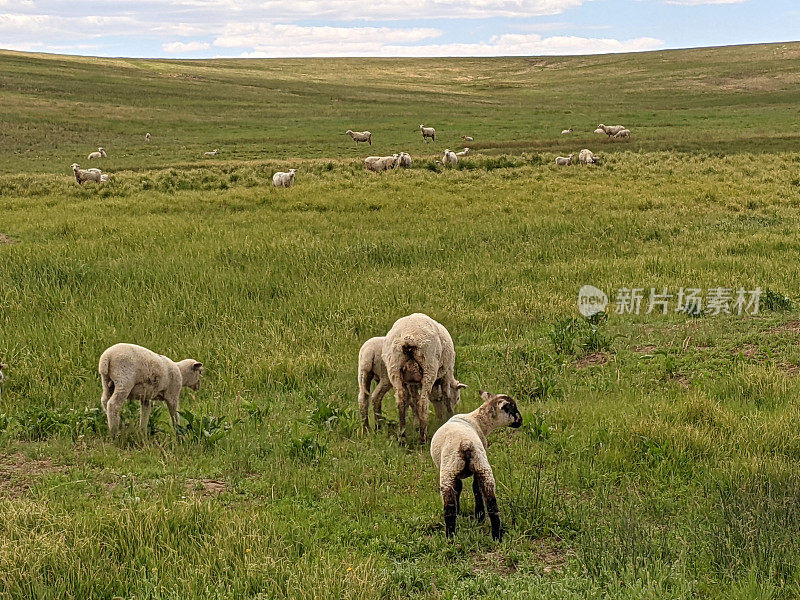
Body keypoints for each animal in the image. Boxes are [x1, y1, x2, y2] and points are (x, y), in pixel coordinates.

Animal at [382, 314, 468, 446]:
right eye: (458, 398)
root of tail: (409, 336)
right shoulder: (447, 372)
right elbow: (446, 395)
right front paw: (450, 415)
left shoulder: (411, 382)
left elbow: (415, 400)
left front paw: (418, 423)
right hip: (429, 366)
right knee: (423, 403)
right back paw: (422, 438)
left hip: (394, 368)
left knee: (401, 402)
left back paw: (402, 437)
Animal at [432, 392, 524, 540]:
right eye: (512, 408)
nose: (521, 421)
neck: (477, 421)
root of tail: (465, 444)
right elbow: (467, 489)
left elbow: (463, 489)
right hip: (482, 467)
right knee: (491, 503)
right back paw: (497, 536)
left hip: (450, 470)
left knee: (450, 507)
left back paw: (451, 537)